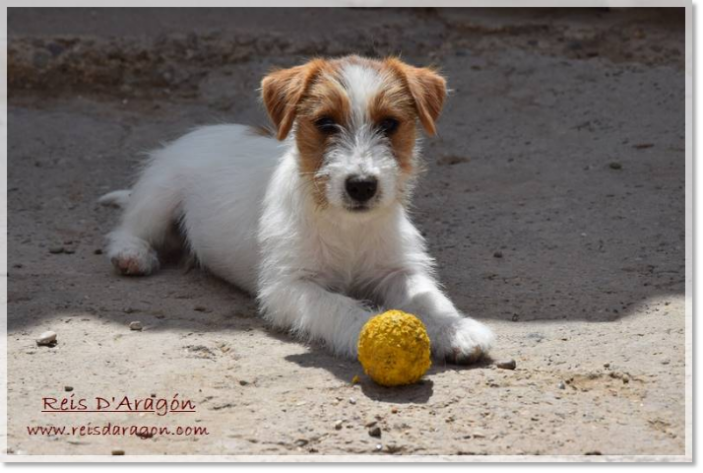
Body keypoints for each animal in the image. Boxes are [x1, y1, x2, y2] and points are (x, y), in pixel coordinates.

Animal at [102, 56, 496, 366]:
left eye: (389, 124)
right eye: (325, 123)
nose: (362, 185)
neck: (347, 227)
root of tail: (205, 131)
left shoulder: (398, 269)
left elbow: (429, 298)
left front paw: (456, 329)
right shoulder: (289, 287)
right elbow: (339, 306)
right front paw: (371, 333)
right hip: (158, 195)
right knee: (130, 227)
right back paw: (132, 254)